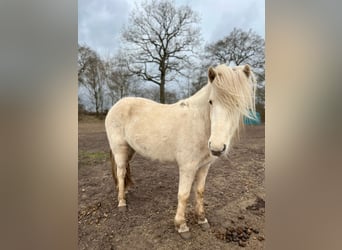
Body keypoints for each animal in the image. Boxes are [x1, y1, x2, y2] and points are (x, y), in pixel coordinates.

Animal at [105, 64, 255, 238]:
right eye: (211, 102)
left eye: (239, 104)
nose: (217, 147)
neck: (199, 124)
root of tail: (116, 106)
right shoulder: (187, 167)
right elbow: (183, 195)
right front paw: (182, 226)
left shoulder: (204, 166)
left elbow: (199, 191)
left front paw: (202, 219)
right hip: (120, 150)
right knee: (121, 173)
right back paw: (122, 202)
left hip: (130, 150)